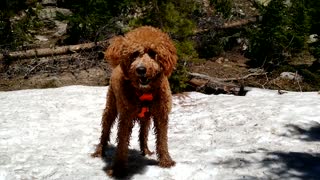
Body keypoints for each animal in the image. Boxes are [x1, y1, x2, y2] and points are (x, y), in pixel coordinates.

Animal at [92, 25, 178, 176]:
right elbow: (122, 143)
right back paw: (99, 151)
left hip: (146, 118)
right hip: (111, 106)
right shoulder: (126, 117)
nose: (141, 70)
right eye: (135, 54)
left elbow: (162, 140)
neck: (145, 92)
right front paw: (118, 168)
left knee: (143, 133)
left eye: (153, 53)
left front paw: (166, 161)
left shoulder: (161, 115)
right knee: (105, 130)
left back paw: (146, 150)